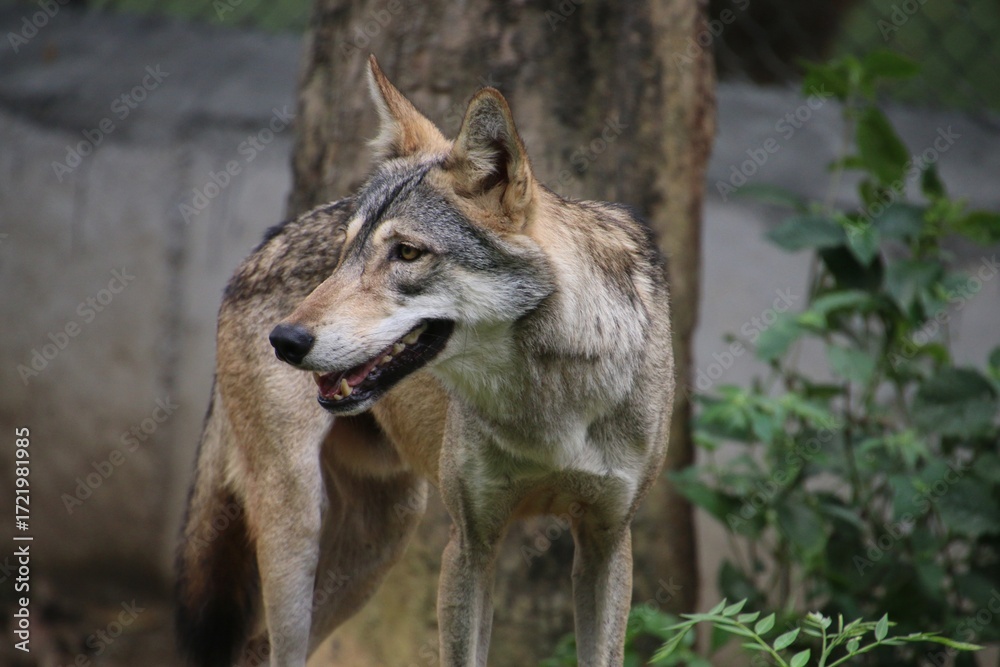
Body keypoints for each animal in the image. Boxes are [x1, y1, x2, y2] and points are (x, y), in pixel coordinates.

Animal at [175, 56, 674, 667]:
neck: (547, 407)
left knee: (257, 646)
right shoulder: (470, 545)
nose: (285, 340)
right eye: (346, 252)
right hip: (299, 530)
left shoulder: (607, 542)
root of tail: (262, 244)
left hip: (383, 536)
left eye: (407, 253)